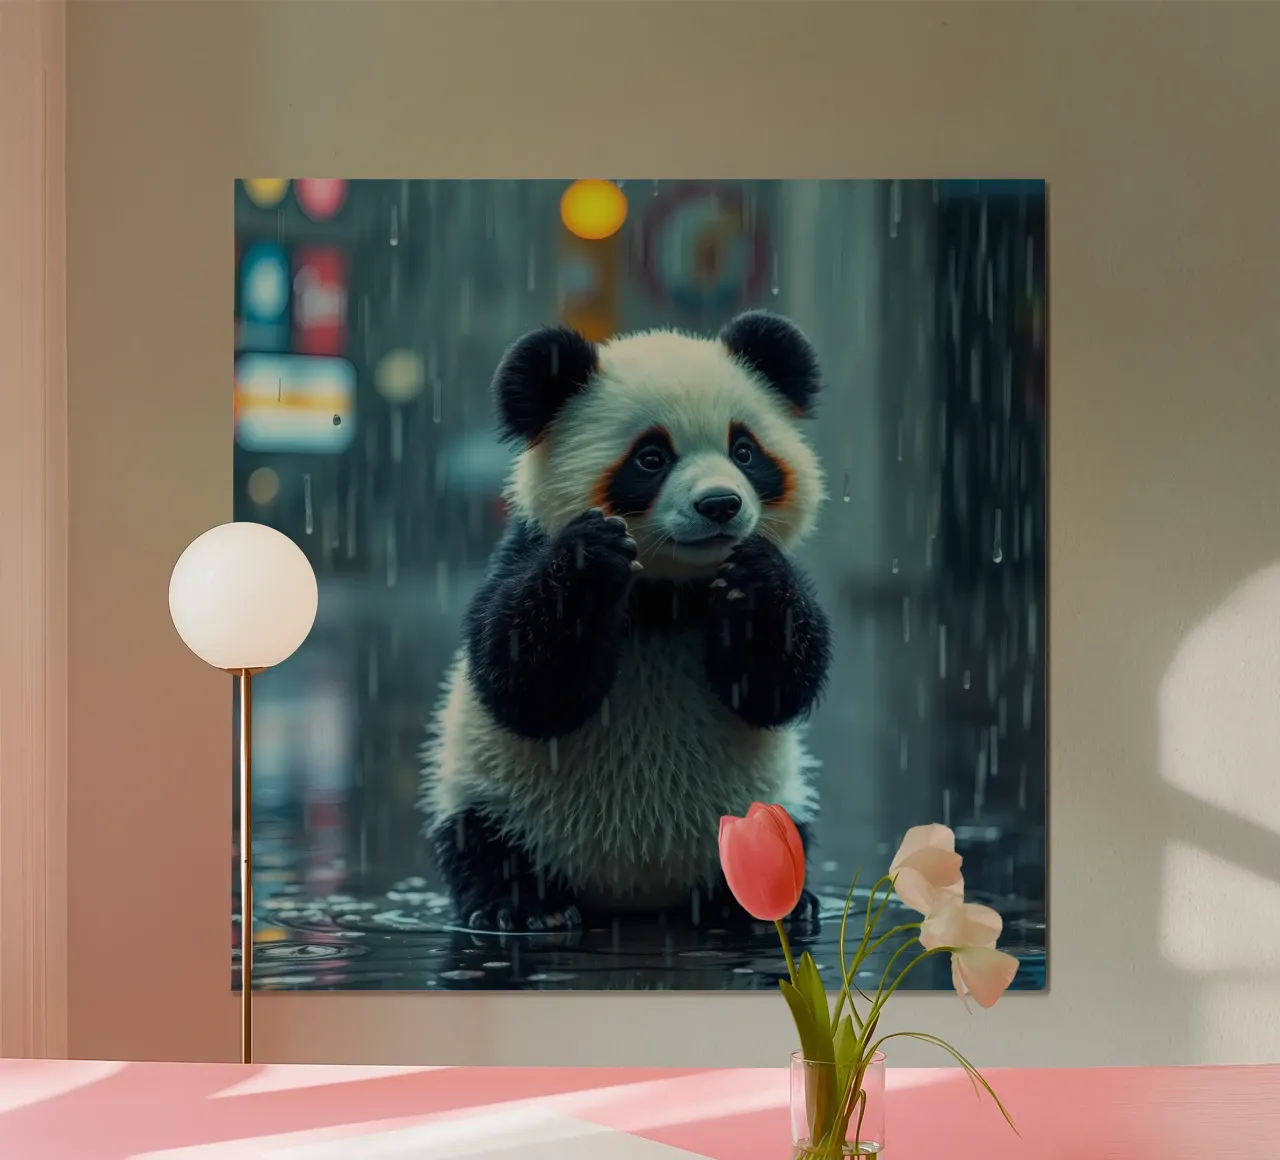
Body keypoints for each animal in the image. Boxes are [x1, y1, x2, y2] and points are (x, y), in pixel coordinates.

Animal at [419, 310, 832, 934]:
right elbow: (522, 682)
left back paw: (760, 906)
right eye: (651, 458)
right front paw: (591, 559)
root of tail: (635, 897)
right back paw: (525, 908)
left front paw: (756, 578)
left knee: (782, 839)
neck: (668, 595)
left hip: (764, 804)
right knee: (484, 846)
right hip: (497, 800)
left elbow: (775, 688)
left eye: (744, 450)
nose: (720, 504)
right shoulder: (520, 554)